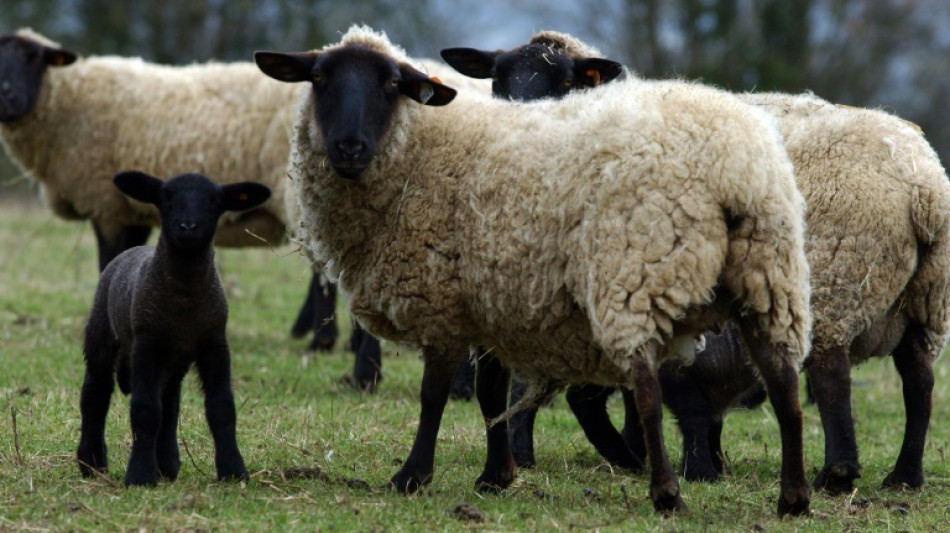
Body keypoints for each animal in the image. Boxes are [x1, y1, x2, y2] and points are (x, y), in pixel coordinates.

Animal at [76, 170, 272, 486]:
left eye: (214, 201)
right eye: (165, 197)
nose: (188, 226)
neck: (184, 300)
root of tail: (131, 250)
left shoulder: (215, 344)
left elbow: (222, 408)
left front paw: (233, 470)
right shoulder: (147, 345)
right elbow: (145, 410)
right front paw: (140, 475)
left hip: (173, 362)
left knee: (169, 402)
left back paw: (167, 464)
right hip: (102, 335)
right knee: (96, 392)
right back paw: (91, 463)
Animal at [256, 26, 816, 516]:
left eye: (392, 84)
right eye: (318, 79)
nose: (348, 148)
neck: (424, 152)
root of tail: (734, 169)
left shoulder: (444, 303)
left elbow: (434, 395)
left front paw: (412, 476)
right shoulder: (489, 299)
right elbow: (490, 391)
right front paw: (495, 477)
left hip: (634, 275)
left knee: (648, 392)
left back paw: (666, 494)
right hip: (769, 277)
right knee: (786, 388)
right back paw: (793, 498)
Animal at [456, 32, 950, 490]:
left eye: (564, 83)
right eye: (496, 81)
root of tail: (923, 186)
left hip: (839, 282)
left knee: (833, 376)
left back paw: (838, 473)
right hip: (925, 303)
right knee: (919, 383)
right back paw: (904, 476)